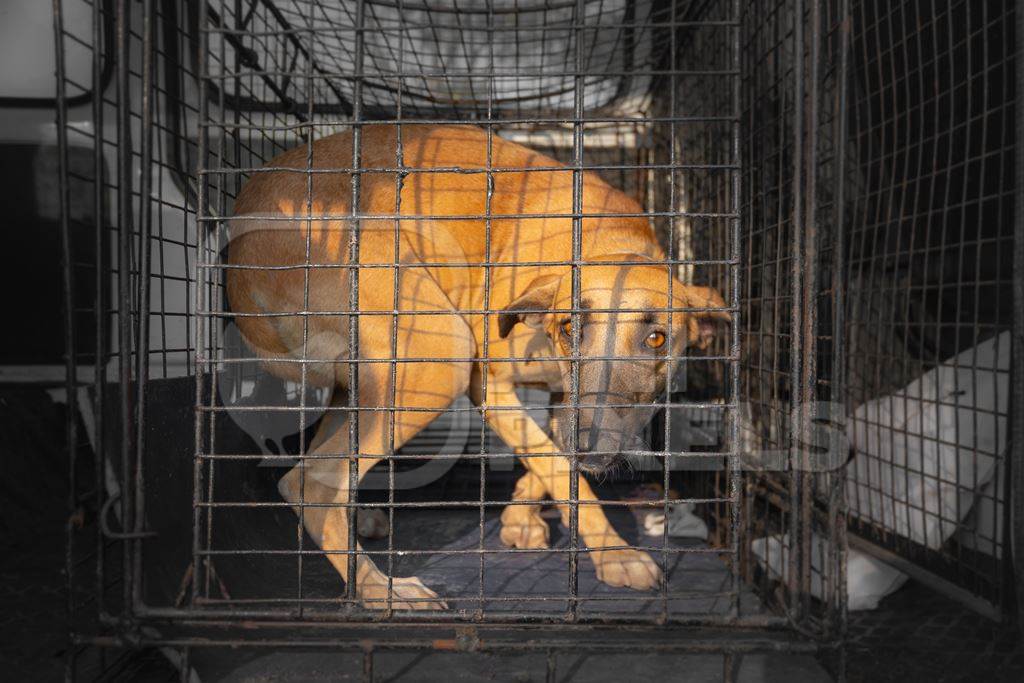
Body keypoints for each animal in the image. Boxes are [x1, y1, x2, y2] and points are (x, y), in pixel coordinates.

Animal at [226, 124, 729, 610]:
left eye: (656, 339)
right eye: (570, 327)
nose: (591, 445)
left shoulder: (562, 402)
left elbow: (547, 459)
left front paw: (522, 516)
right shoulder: (484, 383)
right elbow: (555, 465)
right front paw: (615, 554)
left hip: (362, 387)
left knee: (324, 468)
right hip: (436, 358)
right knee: (308, 485)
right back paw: (379, 591)